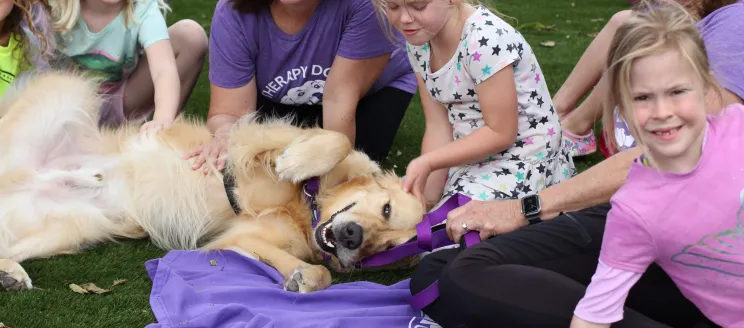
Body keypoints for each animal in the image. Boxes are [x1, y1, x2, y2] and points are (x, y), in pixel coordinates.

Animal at [0, 71, 424, 292]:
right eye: (386, 208)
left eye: (386, 249)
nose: (353, 237)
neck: (308, 207)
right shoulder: (248, 140)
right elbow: (338, 140)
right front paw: (297, 162)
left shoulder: (240, 238)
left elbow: (319, 272)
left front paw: (304, 277)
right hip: (67, 90)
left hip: (73, 226)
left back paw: (13, 272)